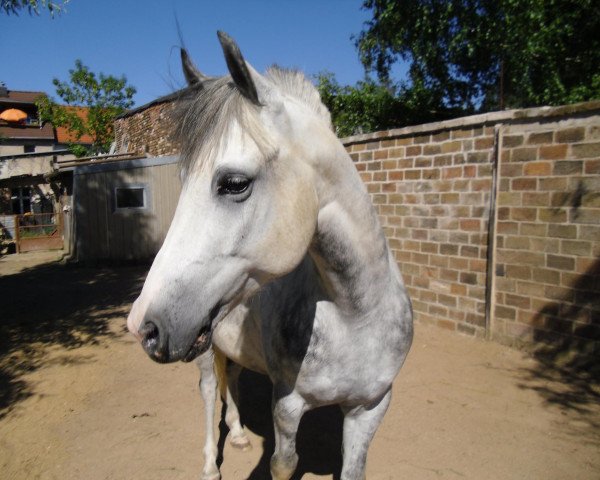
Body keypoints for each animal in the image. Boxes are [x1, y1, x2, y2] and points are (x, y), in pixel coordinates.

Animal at [127, 32, 412, 480]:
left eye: (234, 183)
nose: (142, 326)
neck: (355, 316)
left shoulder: (370, 408)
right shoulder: (288, 407)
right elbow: (283, 463)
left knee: (233, 377)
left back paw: (240, 433)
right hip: (203, 350)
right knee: (209, 392)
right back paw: (210, 465)